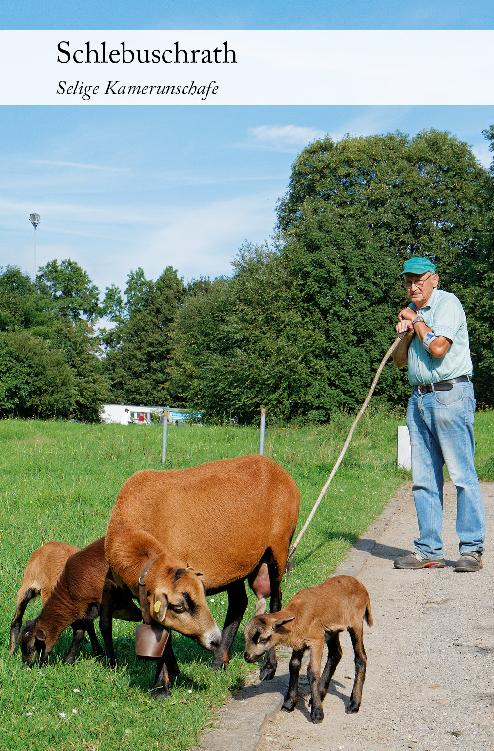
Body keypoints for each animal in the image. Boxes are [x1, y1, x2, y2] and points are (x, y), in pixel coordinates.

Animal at [19, 536, 141, 668]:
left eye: (31, 648)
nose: (27, 666)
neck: (70, 589)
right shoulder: (85, 609)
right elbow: (79, 633)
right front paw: (68, 661)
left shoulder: (107, 598)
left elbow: (104, 627)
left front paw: (111, 663)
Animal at [103, 450, 302, 696]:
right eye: (179, 606)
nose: (212, 639)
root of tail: (277, 469)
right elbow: (163, 634)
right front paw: (172, 674)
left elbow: (164, 633)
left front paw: (161, 686)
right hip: (234, 560)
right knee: (239, 602)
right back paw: (219, 660)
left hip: (279, 547)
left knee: (275, 602)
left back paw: (268, 666)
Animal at [243, 576, 370, 724]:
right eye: (246, 637)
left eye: (263, 639)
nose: (247, 656)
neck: (296, 615)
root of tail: (361, 586)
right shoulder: (300, 643)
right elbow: (294, 665)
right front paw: (289, 703)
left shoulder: (316, 640)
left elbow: (312, 672)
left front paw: (317, 713)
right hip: (331, 630)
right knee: (336, 653)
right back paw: (320, 693)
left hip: (356, 623)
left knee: (360, 657)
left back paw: (354, 704)